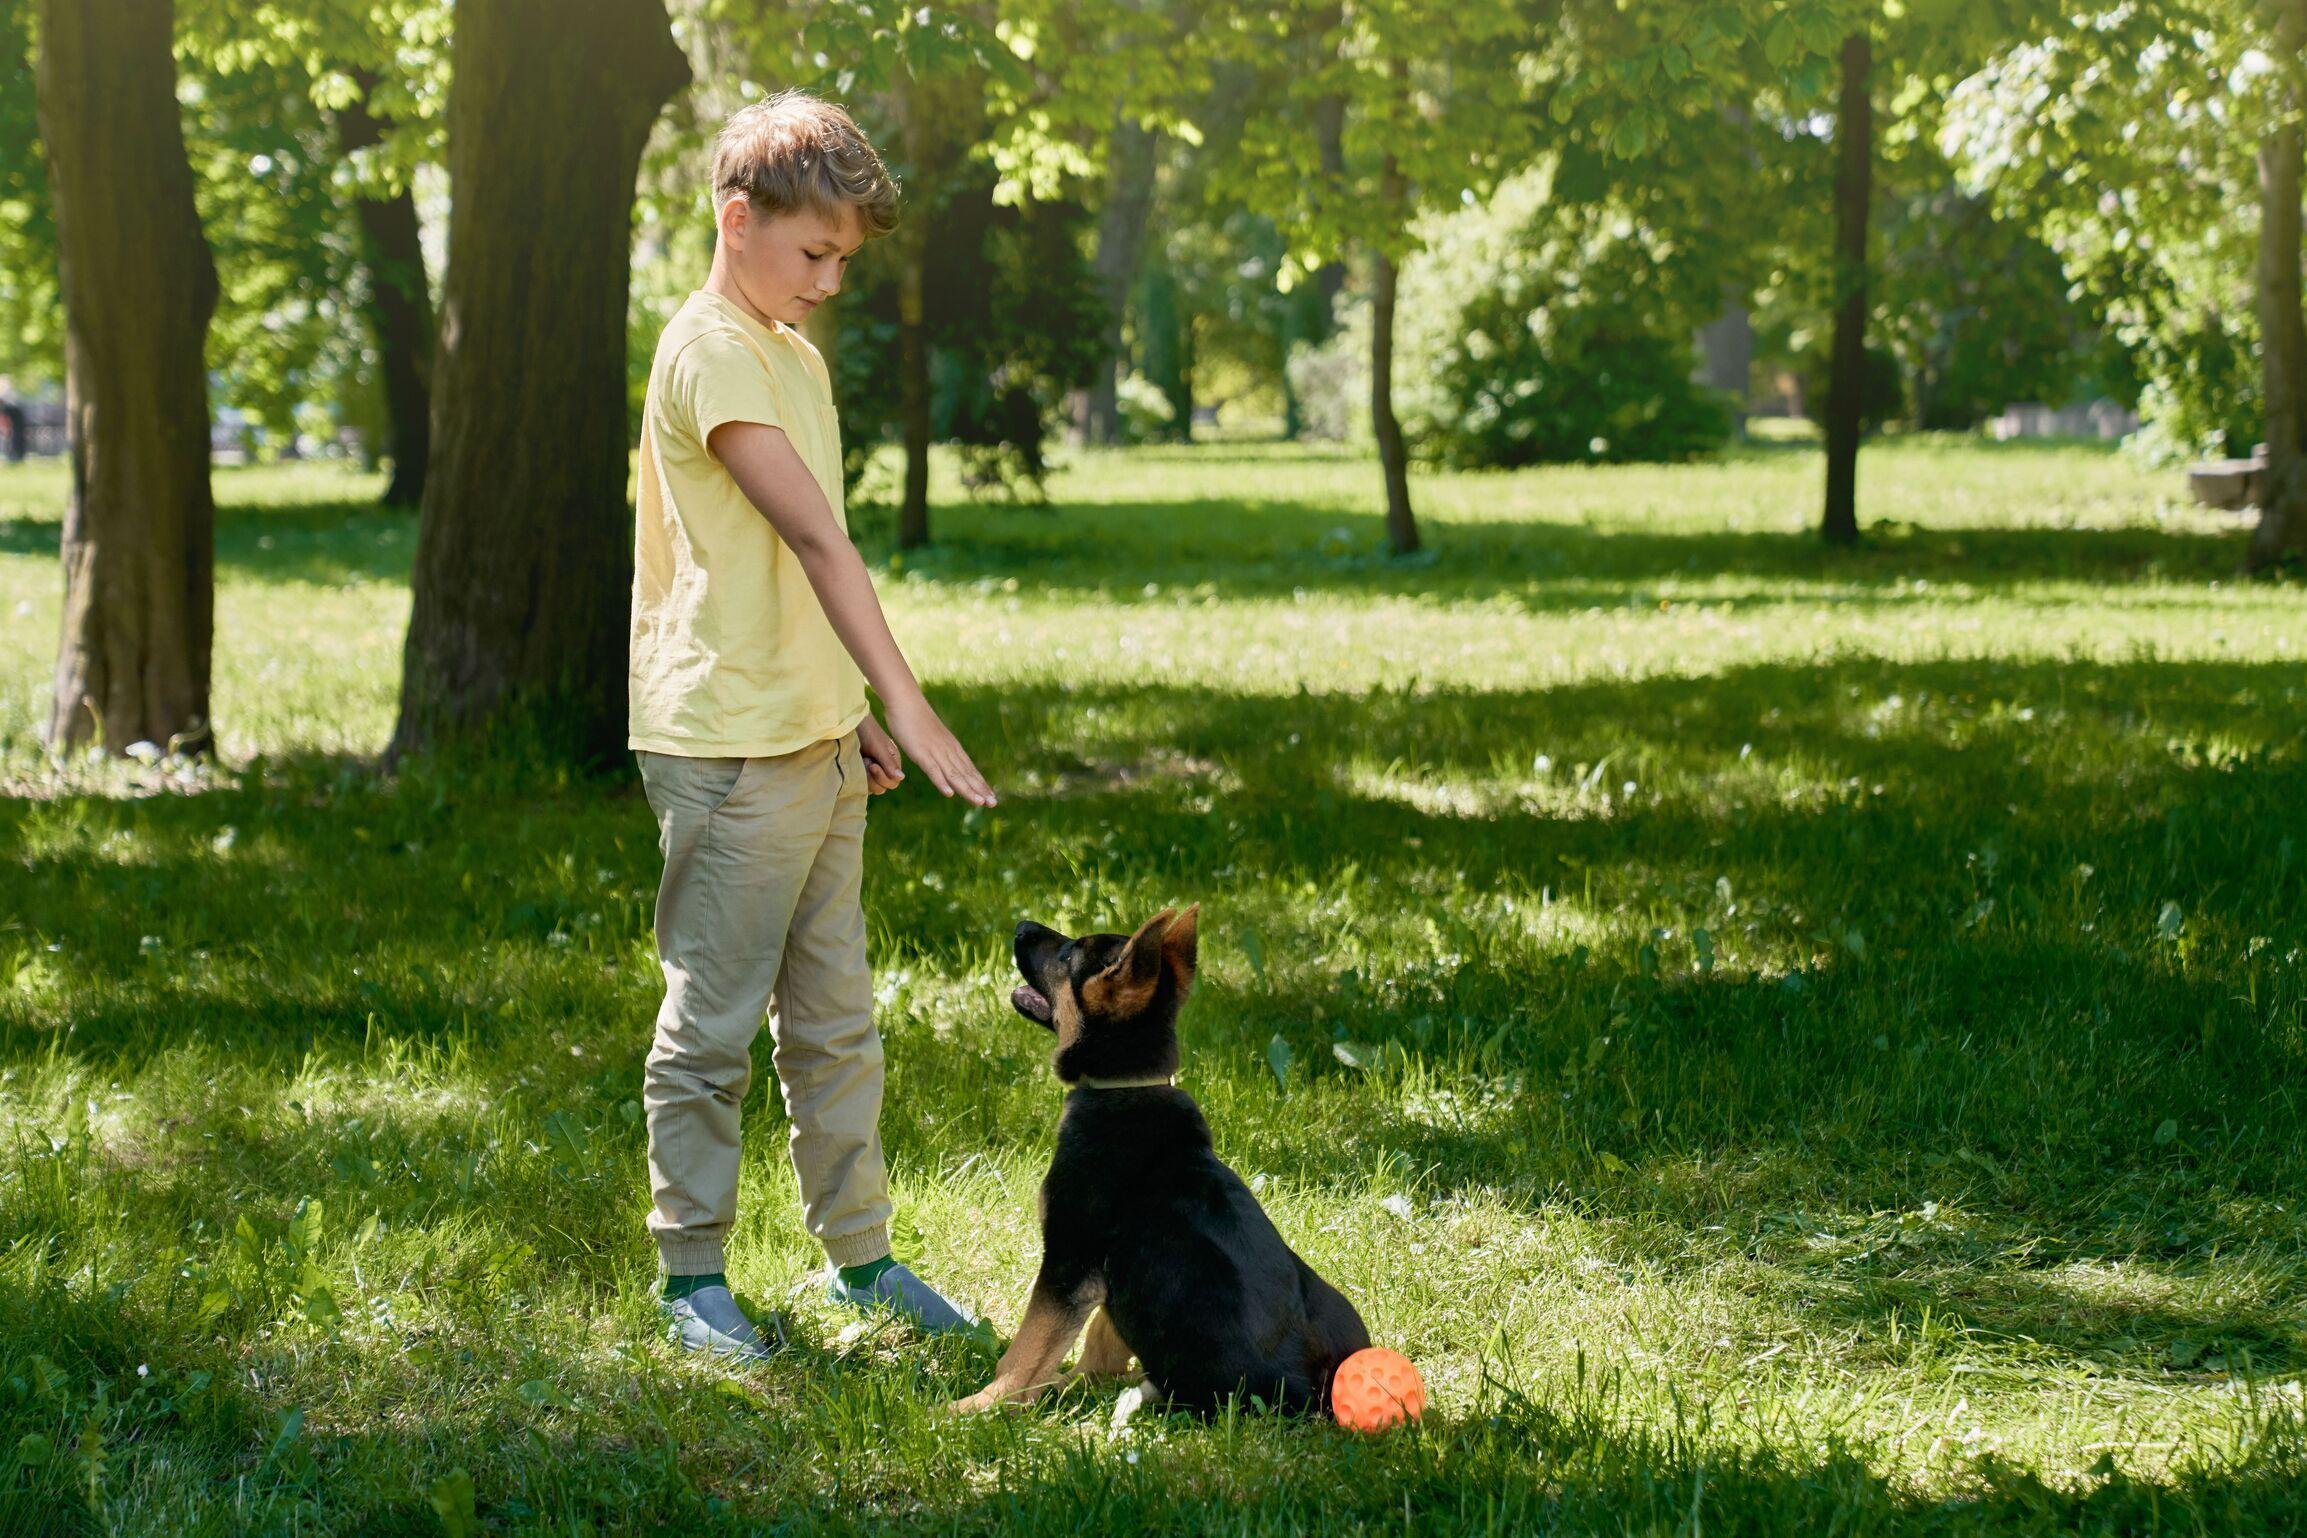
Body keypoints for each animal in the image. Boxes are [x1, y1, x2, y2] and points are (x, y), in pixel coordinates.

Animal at [945, 908, 1356, 1411]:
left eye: (1067, 955)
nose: (1021, 926)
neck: (1126, 1084)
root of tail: (1307, 1397)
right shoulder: (1108, 1282)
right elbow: (1100, 1343)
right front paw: (1067, 1386)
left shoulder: (1068, 1264)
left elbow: (1025, 1352)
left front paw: (978, 1407)